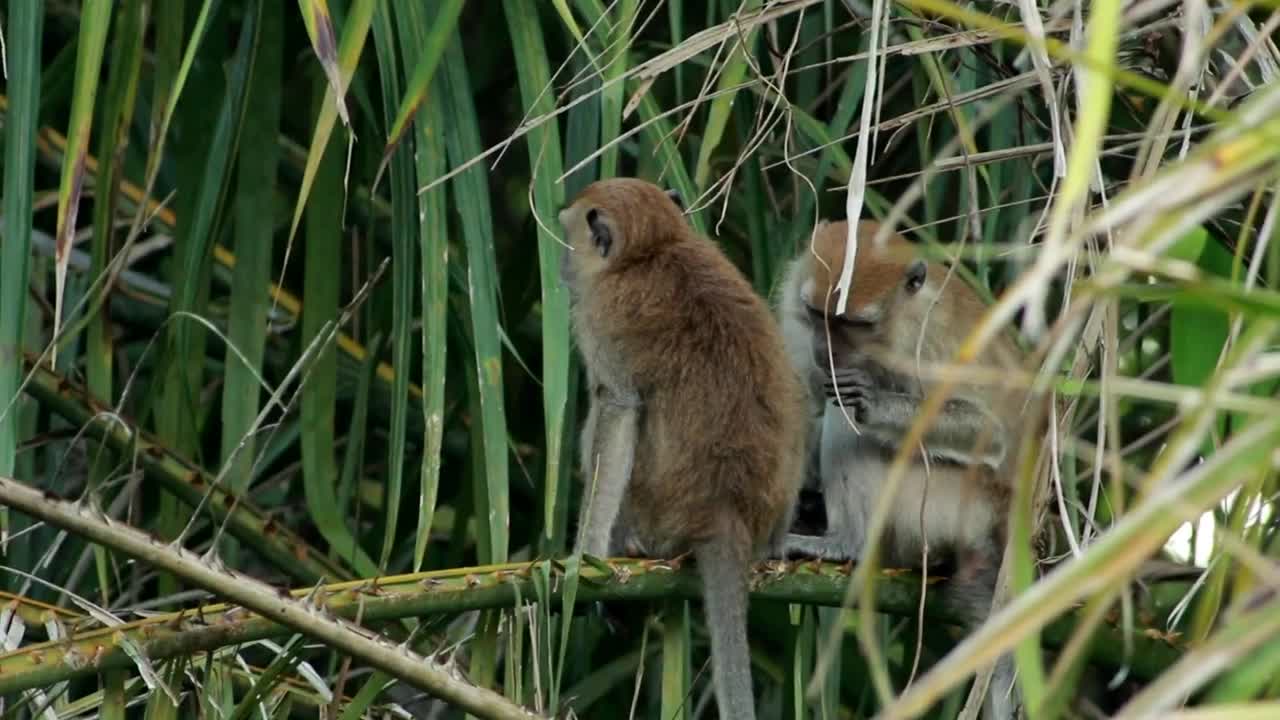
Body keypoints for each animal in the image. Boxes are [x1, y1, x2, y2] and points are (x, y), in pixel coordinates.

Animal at [558, 178, 809, 720]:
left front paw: (586, 558)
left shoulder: (600, 314)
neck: (656, 247)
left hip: (655, 514)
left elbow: (619, 409)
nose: (564, 264)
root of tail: (724, 511)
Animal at [774, 219, 1033, 720]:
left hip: (945, 508)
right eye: (817, 315)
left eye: (853, 324)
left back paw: (846, 544)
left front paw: (873, 401)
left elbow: (989, 433)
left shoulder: (926, 341)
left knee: (844, 419)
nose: (824, 351)